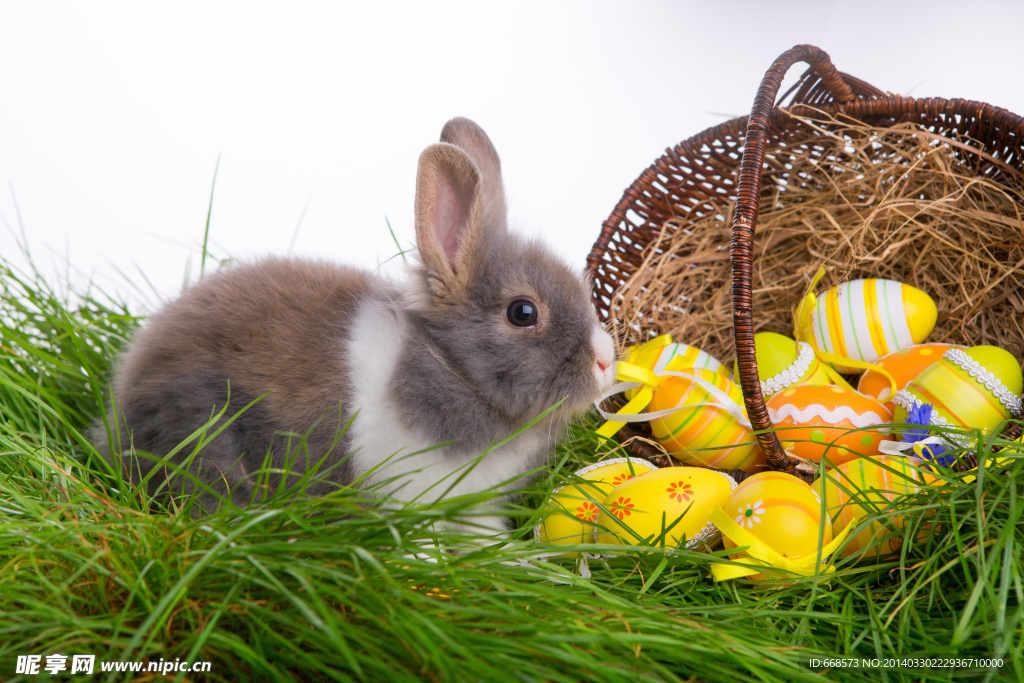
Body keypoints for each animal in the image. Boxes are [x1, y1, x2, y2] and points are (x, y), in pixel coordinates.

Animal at [101, 117, 614, 532]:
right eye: (522, 313)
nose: (606, 361)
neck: (448, 366)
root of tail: (118, 408)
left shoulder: (474, 506)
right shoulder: (409, 497)